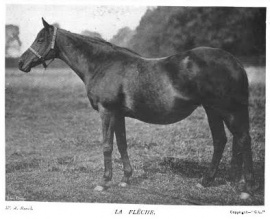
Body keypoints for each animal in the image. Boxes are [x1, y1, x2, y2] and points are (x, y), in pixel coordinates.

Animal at [18, 18, 255, 193]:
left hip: (226, 110)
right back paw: (214, 181)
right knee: (223, 140)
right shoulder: (119, 114)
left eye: (40, 38)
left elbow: (107, 145)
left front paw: (104, 182)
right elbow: (122, 144)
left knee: (242, 139)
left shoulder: (107, 112)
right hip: (213, 110)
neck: (102, 64)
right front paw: (126, 178)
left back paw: (246, 187)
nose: (21, 63)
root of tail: (235, 62)